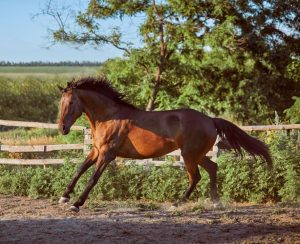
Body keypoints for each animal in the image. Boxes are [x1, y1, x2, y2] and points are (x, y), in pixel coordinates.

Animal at [56, 77, 272, 213]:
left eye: (71, 102)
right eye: (61, 103)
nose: (62, 129)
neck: (110, 118)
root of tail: (210, 120)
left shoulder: (107, 155)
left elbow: (92, 178)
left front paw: (76, 204)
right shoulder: (96, 151)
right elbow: (79, 170)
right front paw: (64, 197)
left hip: (189, 155)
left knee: (196, 177)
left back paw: (177, 204)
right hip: (197, 155)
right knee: (212, 168)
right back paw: (216, 203)